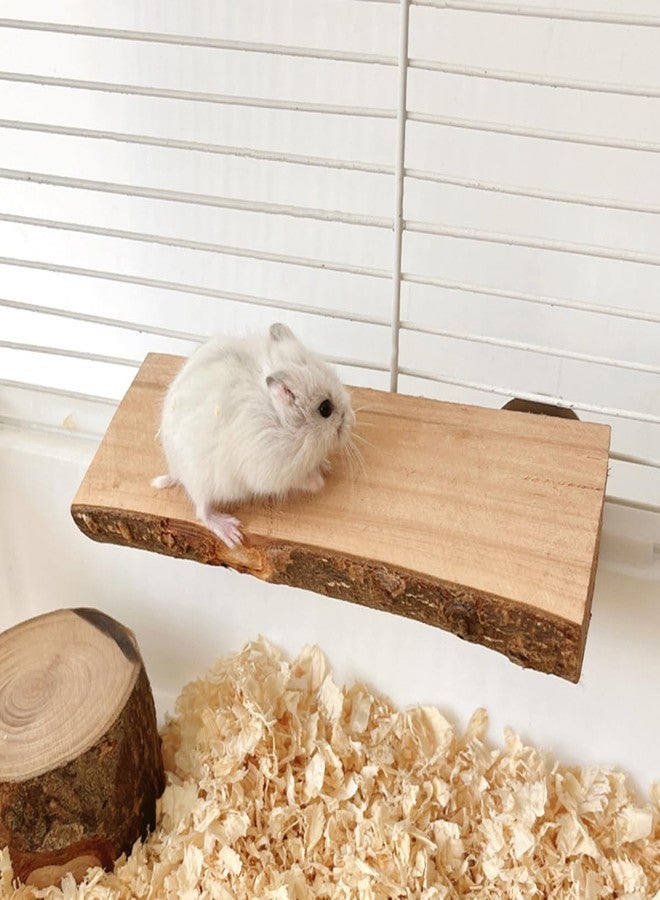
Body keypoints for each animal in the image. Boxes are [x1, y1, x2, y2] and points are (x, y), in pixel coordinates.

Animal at [152, 322, 355, 548]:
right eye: (325, 408)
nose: (352, 420)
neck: (285, 425)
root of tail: (175, 471)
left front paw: (326, 467)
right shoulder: (270, 471)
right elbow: (299, 479)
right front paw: (319, 483)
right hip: (200, 479)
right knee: (202, 510)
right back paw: (232, 533)